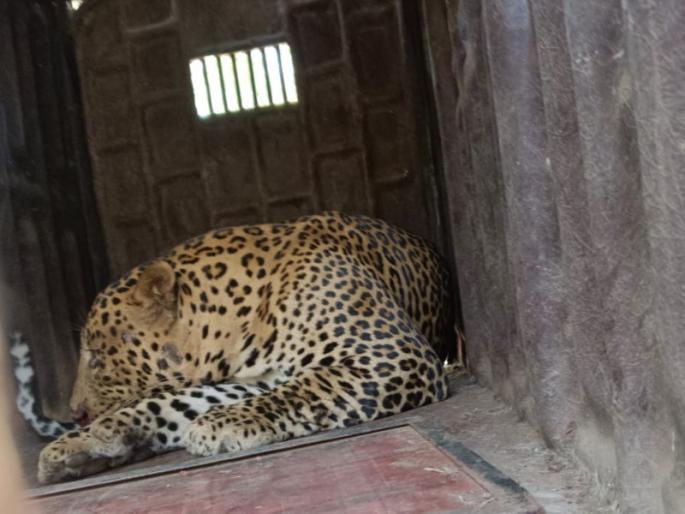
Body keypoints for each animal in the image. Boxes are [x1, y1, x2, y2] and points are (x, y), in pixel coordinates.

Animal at [37, 212, 453, 484]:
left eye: (96, 356)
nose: (75, 414)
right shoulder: (252, 380)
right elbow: (175, 402)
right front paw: (93, 439)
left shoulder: (389, 354)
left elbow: (301, 391)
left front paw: (220, 425)